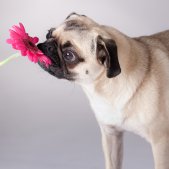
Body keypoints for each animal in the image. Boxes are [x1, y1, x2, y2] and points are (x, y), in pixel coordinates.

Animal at [37, 12, 169, 168]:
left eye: (69, 55)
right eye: (48, 34)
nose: (47, 46)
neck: (103, 87)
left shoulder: (161, 143)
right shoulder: (111, 135)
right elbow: (112, 163)